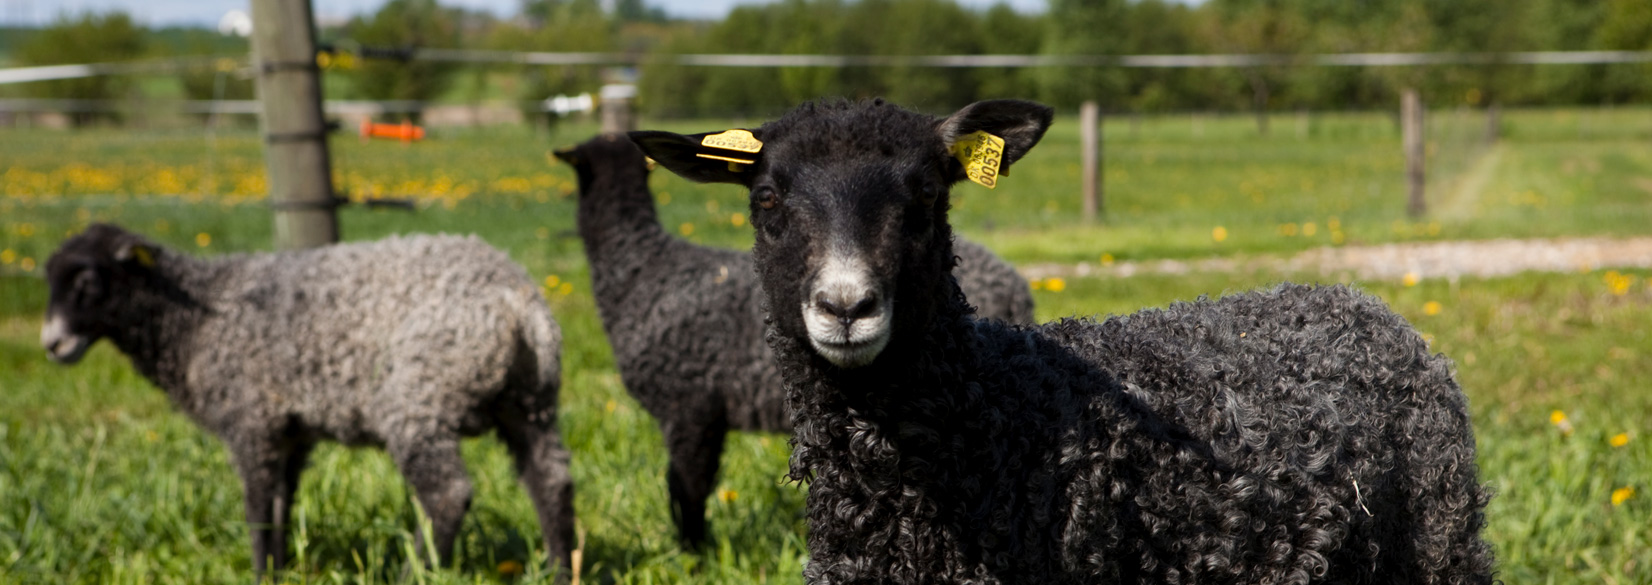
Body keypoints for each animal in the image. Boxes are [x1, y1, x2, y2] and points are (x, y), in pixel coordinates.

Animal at [41, 226, 578, 578]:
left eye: (87, 282)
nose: (52, 344)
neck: (194, 321)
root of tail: (519, 301)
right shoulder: (290, 432)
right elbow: (281, 503)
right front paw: (280, 571)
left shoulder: (252, 421)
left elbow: (259, 506)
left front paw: (261, 574)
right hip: (529, 401)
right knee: (551, 479)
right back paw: (557, 569)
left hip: (419, 401)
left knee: (447, 494)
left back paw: (417, 573)